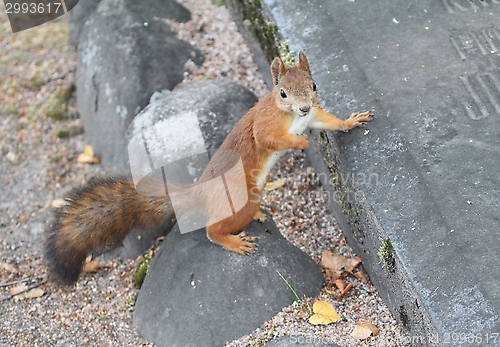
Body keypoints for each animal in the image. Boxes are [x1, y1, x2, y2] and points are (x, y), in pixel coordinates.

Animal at [46, 52, 372, 286]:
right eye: (282, 93)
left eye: (313, 85)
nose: (303, 107)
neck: (293, 117)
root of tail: (199, 192)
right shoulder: (264, 127)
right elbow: (269, 139)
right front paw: (299, 142)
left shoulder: (313, 117)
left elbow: (329, 121)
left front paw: (352, 120)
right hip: (239, 201)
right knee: (212, 230)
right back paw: (233, 241)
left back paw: (259, 214)